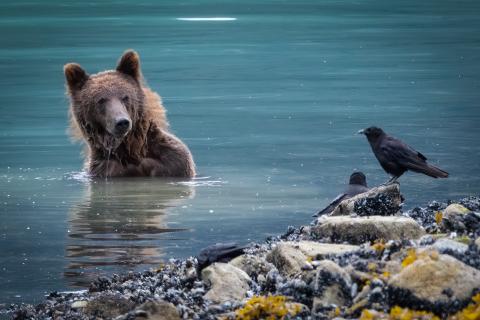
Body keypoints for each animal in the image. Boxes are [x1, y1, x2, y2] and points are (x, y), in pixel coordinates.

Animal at [64, 51, 196, 179]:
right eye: (101, 100)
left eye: (125, 97)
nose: (121, 122)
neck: (132, 151)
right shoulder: (106, 169)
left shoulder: (174, 162)